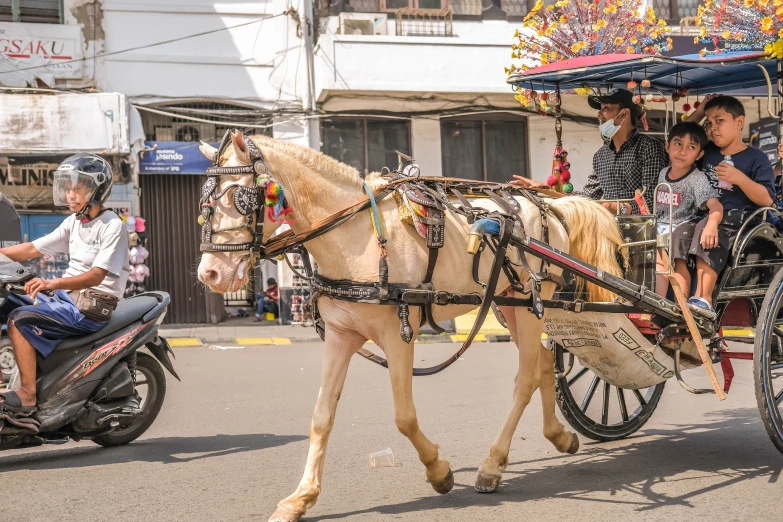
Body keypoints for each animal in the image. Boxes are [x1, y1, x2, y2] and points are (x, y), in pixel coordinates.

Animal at [196, 130, 624, 520]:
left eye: (239, 197)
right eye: (204, 204)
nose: (209, 274)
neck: (357, 238)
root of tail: (551, 205)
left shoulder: (398, 334)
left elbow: (403, 417)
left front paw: (439, 471)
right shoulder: (340, 336)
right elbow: (321, 418)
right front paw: (300, 498)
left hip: (536, 298)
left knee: (526, 378)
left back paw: (492, 465)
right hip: (512, 303)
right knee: (544, 364)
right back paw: (559, 436)